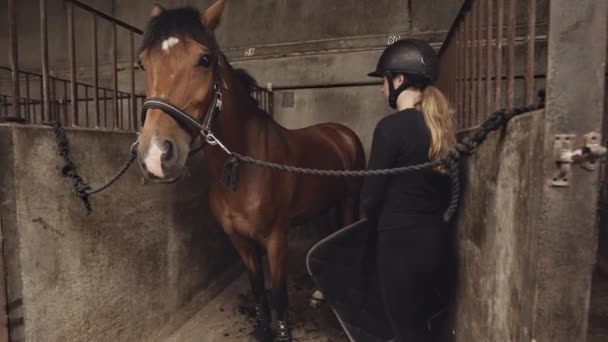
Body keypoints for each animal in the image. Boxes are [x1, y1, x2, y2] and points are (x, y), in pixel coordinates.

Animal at [135, 1, 364, 340]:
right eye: (142, 63)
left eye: (205, 60)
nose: (155, 154)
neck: (244, 168)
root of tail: (341, 133)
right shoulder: (240, 240)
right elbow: (257, 286)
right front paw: (261, 326)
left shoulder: (276, 239)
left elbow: (279, 293)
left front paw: (282, 332)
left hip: (349, 200)